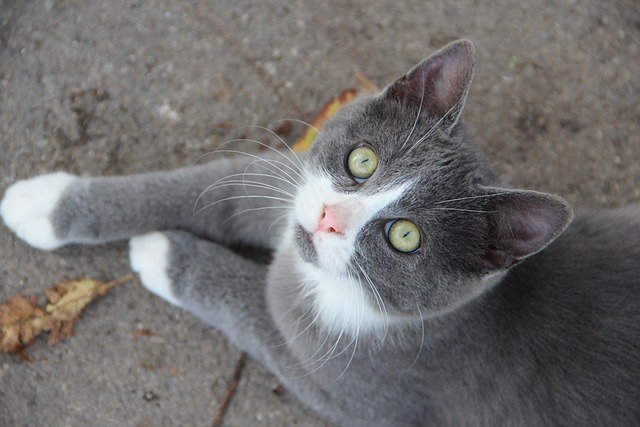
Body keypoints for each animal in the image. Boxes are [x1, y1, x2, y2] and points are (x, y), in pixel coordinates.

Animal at [1, 40, 640, 427]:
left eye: (405, 237)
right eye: (362, 161)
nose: (330, 219)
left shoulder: (360, 391)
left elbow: (253, 305)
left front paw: (165, 251)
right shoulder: (291, 187)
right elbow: (205, 188)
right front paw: (44, 203)